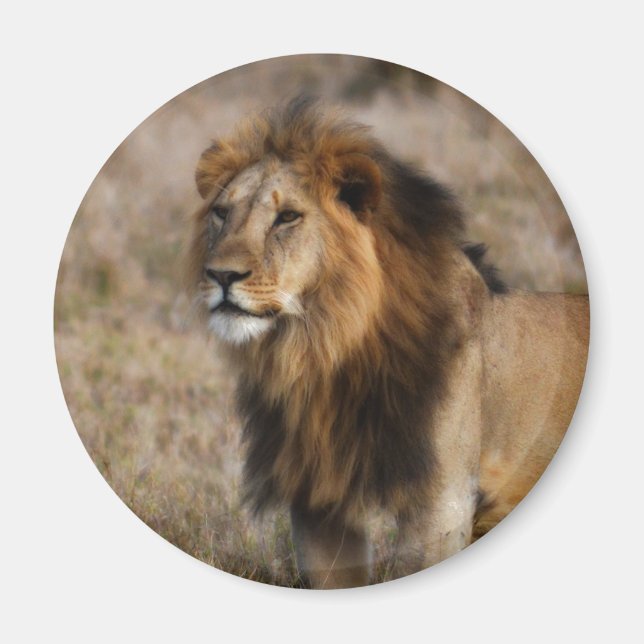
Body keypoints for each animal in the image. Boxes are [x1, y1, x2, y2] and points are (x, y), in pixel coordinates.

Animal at [185, 97, 589, 589]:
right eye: (222, 213)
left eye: (287, 217)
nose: (221, 275)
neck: (324, 353)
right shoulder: (317, 501)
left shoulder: (441, 502)